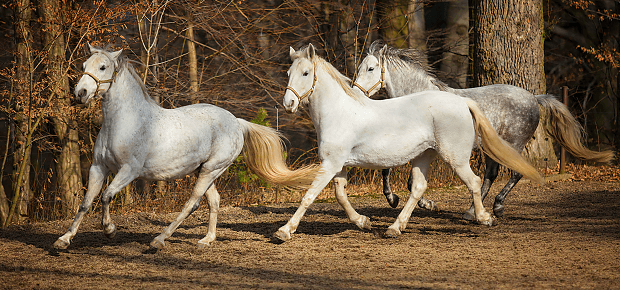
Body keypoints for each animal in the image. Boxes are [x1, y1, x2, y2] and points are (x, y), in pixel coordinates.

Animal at [52, 44, 320, 250]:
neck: (124, 121)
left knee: (192, 203)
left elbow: (106, 196)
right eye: (84, 65)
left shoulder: (130, 171)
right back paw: (206, 240)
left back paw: (159, 240)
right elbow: (85, 203)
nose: (80, 93)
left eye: (103, 67)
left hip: (211, 169)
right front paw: (63, 240)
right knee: (214, 201)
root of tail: (236, 121)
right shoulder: (98, 167)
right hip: (204, 170)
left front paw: (109, 230)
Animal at [276, 44, 544, 241]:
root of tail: (463, 103)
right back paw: (395, 228)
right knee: (418, 188)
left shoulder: (330, 164)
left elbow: (309, 196)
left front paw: (284, 231)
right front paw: (363, 222)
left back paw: (483, 216)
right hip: (425, 155)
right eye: (288, 73)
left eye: (306, 73)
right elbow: (341, 196)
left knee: (477, 181)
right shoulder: (339, 165)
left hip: (456, 157)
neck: (339, 112)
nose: (289, 104)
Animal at [354, 39, 616, 219]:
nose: (356, 92)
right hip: (493, 148)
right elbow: (389, 171)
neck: (420, 97)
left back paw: (495, 207)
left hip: (513, 144)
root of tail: (534, 98)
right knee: (491, 175)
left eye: (371, 69)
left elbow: (405, 179)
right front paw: (397, 199)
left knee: (514, 173)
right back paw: (473, 211)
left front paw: (417, 203)